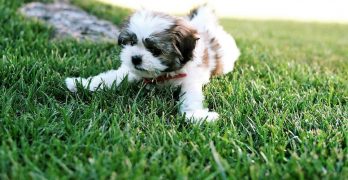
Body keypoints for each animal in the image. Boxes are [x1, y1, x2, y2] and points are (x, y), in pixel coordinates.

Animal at [64, 5, 239, 124]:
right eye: (131, 42)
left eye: (155, 50)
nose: (135, 58)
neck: (162, 75)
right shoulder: (130, 71)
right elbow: (109, 78)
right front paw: (80, 84)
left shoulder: (191, 78)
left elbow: (191, 96)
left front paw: (196, 115)